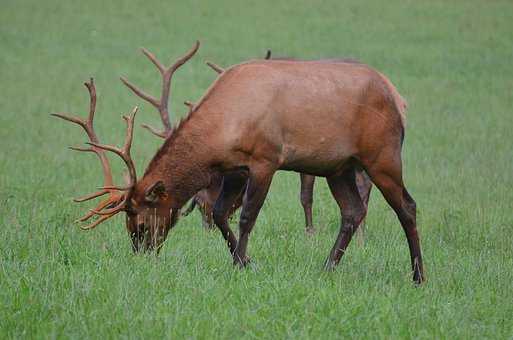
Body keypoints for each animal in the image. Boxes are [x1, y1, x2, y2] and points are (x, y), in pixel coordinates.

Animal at [53, 42, 424, 282]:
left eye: (141, 223)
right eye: (128, 224)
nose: (142, 256)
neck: (222, 130)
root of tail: (399, 98)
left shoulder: (265, 159)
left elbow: (247, 216)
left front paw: (244, 264)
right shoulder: (234, 168)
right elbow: (219, 213)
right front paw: (241, 259)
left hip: (382, 155)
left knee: (407, 206)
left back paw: (418, 275)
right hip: (339, 166)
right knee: (352, 211)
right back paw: (327, 268)